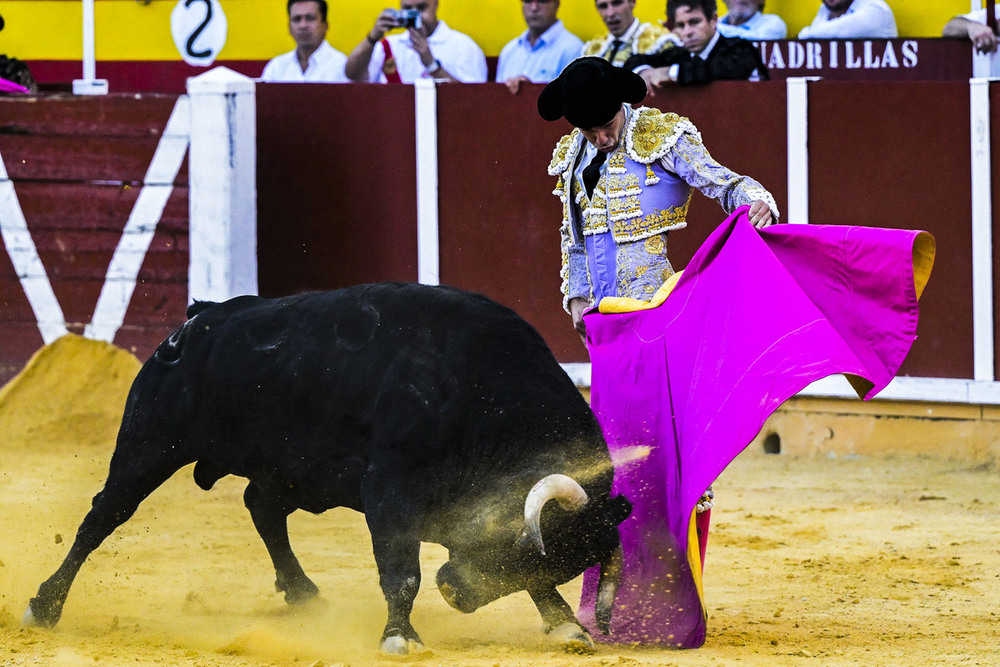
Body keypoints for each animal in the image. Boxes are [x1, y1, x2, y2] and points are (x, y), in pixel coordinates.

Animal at [25, 284, 632, 656]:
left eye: (555, 561)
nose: (455, 592)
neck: (483, 396)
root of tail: (201, 316)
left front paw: (566, 626)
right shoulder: (390, 489)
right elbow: (401, 572)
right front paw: (400, 638)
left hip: (288, 470)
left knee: (261, 507)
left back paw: (303, 593)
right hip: (148, 446)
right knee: (102, 517)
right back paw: (43, 605)